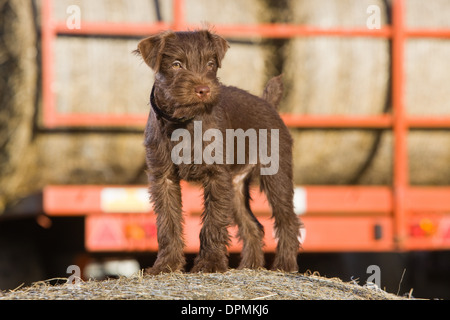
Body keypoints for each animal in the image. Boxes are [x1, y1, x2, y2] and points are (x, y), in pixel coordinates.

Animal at [134, 30, 302, 274]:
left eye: (210, 64)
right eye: (176, 64)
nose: (203, 90)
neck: (184, 123)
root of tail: (268, 104)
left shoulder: (216, 176)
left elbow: (212, 221)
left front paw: (210, 263)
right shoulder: (163, 178)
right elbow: (168, 222)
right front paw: (166, 264)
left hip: (276, 176)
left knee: (287, 220)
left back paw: (284, 266)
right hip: (235, 187)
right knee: (253, 227)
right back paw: (250, 267)